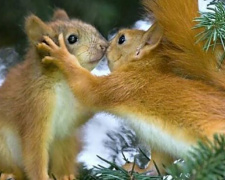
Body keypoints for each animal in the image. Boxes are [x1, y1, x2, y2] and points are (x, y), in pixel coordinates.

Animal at [0, 8, 107, 180]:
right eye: (72, 38)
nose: (105, 45)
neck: (63, 83)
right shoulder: (35, 108)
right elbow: (35, 152)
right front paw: (42, 177)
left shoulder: (70, 116)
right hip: (3, 149)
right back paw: (9, 174)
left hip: (68, 142)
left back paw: (66, 175)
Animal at [38, 0, 225, 174]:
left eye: (122, 39)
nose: (105, 45)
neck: (143, 68)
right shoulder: (160, 147)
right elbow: (157, 166)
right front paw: (139, 170)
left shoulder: (124, 85)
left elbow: (89, 89)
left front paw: (61, 54)